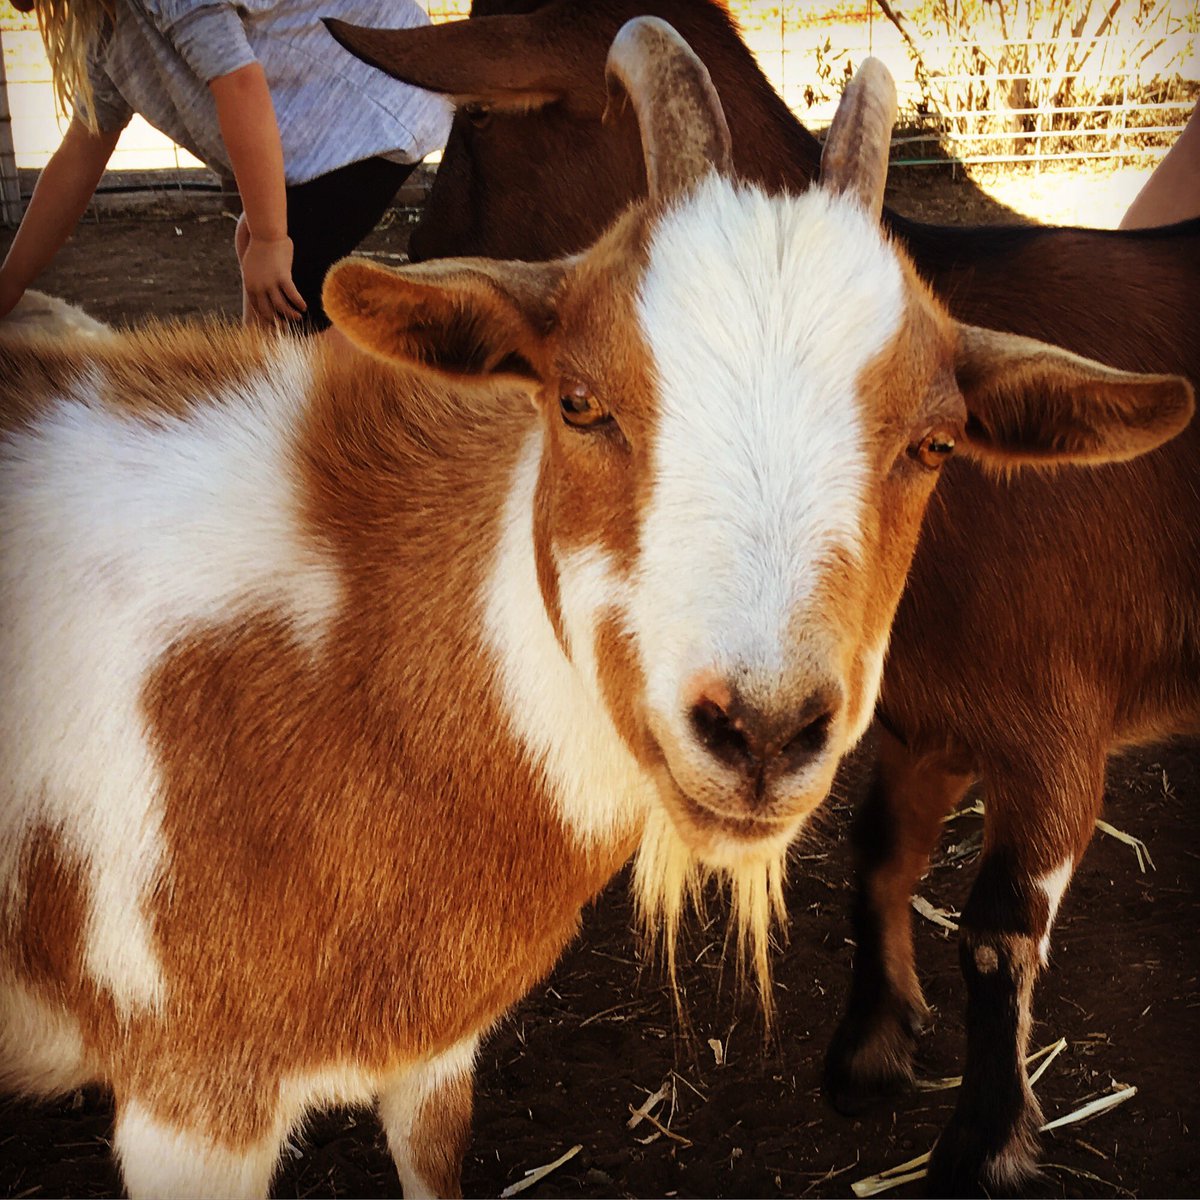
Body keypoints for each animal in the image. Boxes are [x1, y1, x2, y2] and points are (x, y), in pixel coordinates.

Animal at [325, 4, 1200, 1194]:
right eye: (582, 402)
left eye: (935, 443)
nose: (414, 258)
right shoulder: (926, 717)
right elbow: (881, 854)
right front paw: (871, 1052)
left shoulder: (1058, 725)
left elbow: (995, 935)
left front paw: (980, 1147)